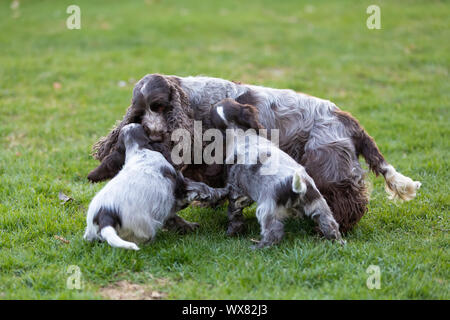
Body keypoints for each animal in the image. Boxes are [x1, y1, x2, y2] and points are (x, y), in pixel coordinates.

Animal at [82, 122, 227, 250]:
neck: (139, 150)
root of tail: (105, 215)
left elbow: (173, 217)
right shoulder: (181, 185)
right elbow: (204, 189)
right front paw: (224, 191)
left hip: (91, 232)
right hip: (143, 226)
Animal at [213, 99, 342, 249]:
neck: (238, 134)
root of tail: (298, 187)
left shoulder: (235, 190)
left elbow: (234, 213)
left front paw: (231, 232)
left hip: (266, 209)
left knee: (273, 232)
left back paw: (259, 247)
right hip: (318, 203)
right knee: (330, 224)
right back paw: (338, 242)